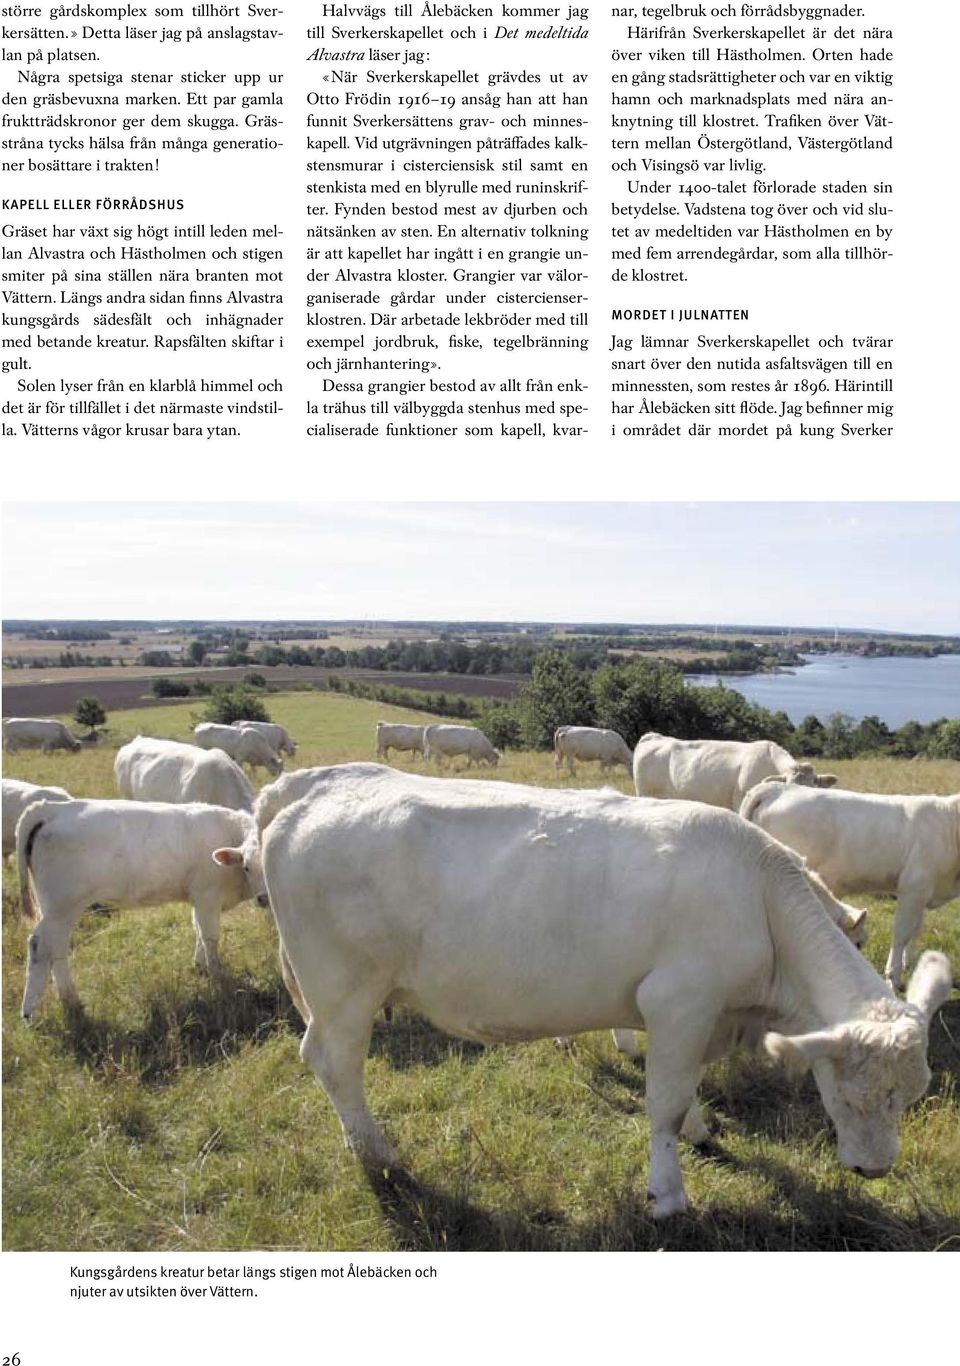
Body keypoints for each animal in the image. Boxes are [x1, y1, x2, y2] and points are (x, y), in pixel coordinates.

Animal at [17, 797, 266, 1021]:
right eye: (247, 867)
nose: (264, 898)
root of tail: (51, 808)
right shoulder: (207, 895)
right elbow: (210, 937)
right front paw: (219, 975)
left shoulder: (199, 898)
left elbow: (198, 931)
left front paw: (199, 966)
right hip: (62, 907)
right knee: (42, 946)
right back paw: (42, 1007)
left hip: (56, 910)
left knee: (55, 949)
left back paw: (67, 1001)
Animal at [742, 781, 960, 994]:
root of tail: (776, 787)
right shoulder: (912, 889)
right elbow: (902, 933)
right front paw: (894, 979)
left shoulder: (924, 892)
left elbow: (916, 929)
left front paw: (914, 966)